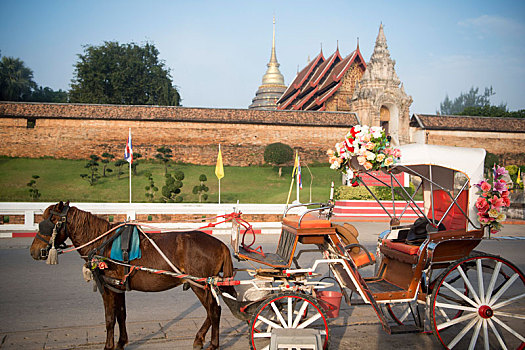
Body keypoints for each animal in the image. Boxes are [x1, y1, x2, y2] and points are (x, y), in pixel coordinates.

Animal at [28, 202, 233, 350]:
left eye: (47, 223)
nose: (34, 251)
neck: (103, 242)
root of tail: (220, 244)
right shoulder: (117, 286)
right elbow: (121, 314)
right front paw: (120, 343)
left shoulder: (108, 288)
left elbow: (110, 318)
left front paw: (108, 346)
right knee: (212, 310)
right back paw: (200, 338)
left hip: (200, 284)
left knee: (214, 310)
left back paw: (212, 344)